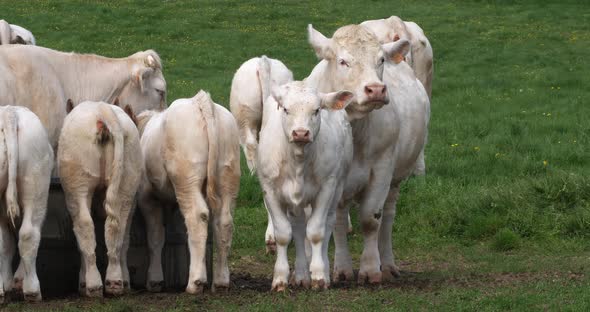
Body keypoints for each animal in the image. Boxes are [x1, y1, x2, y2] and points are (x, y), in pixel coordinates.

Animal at [58, 100, 143, 298]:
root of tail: (103, 111)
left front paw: (82, 283)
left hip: (78, 183)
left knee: (84, 224)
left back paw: (93, 284)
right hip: (126, 183)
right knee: (117, 228)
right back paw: (115, 282)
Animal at [138, 91, 242, 294]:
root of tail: (200, 101)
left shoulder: (148, 197)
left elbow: (155, 237)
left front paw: (154, 280)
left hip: (187, 176)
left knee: (197, 216)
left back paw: (195, 281)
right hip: (228, 177)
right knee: (224, 222)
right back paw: (220, 281)